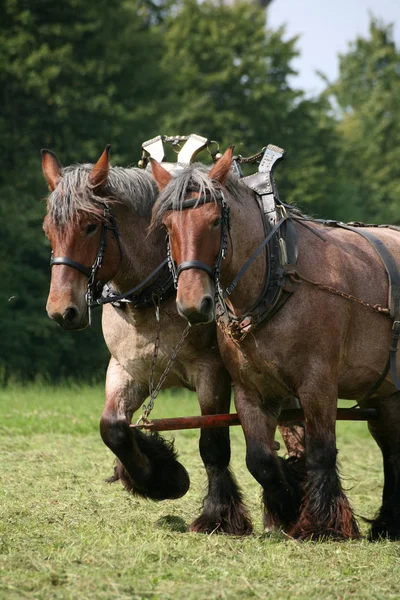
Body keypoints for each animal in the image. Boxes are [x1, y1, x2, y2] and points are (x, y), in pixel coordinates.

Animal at [151, 149, 400, 540]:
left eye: (215, 222)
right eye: (168, 225)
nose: (192, 304)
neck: (278, 278)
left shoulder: (318, 384)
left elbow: (321, 451)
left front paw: (323, 523)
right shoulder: (251, 391)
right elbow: (259, 460)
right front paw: (287, 504)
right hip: (384, 392)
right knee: (391, 450)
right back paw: (389, 522)